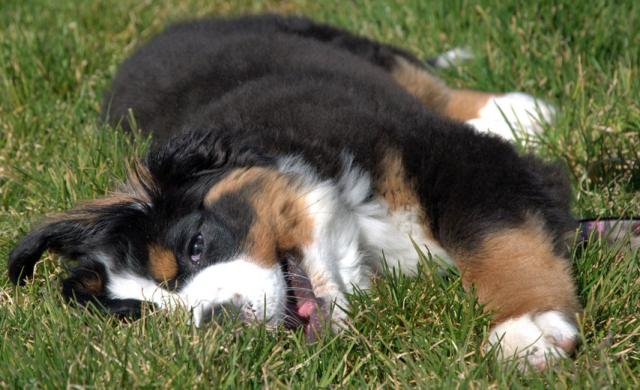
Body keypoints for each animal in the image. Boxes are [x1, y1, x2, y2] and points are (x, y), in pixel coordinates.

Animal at [8, 13, 636, 370]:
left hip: (345, 45)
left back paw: (520, 109)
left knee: (425, 80)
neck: (356, 232)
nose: (216, 322)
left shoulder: (453, 157)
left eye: (196, 246)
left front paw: (524, 326)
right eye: (153, 319)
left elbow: (497, 239)